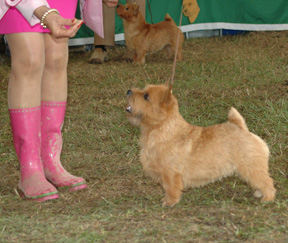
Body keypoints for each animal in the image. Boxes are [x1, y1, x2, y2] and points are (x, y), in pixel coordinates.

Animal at [126, 84, 276, 206]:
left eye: (146, 96)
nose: (128, 91)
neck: (162, 128)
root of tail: (241, 128)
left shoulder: (170, 173)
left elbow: (171, 188)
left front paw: (170, 202)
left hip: (250, 166)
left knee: (266, 181)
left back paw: (267, 198)